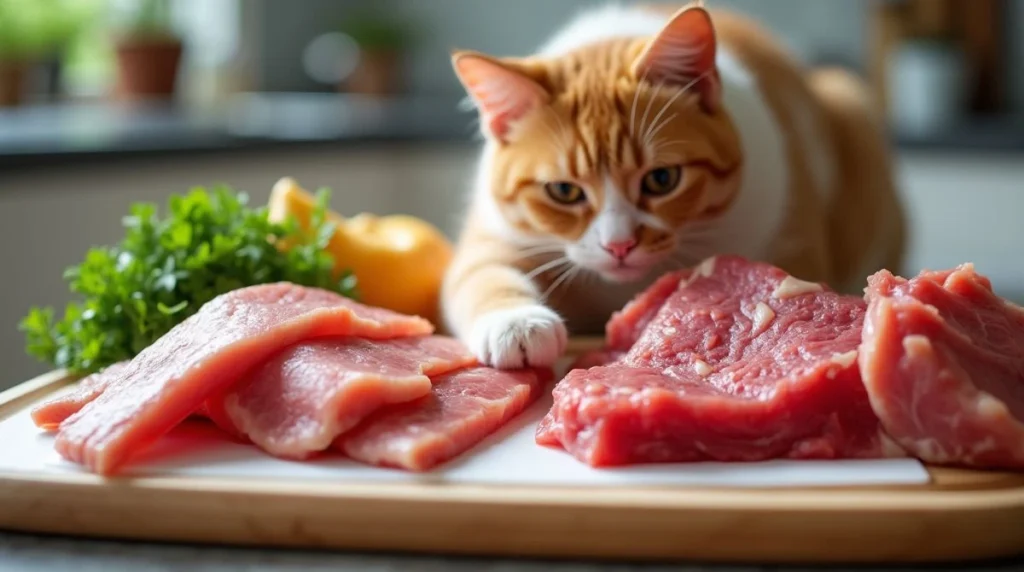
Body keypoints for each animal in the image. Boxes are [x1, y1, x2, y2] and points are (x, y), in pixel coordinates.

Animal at [440, 2, 905, 368]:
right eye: (564, 191)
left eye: (662, 179)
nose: (619, 246)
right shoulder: (493, 233)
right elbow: (479, 274)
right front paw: (517, 325)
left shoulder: (789, 231)